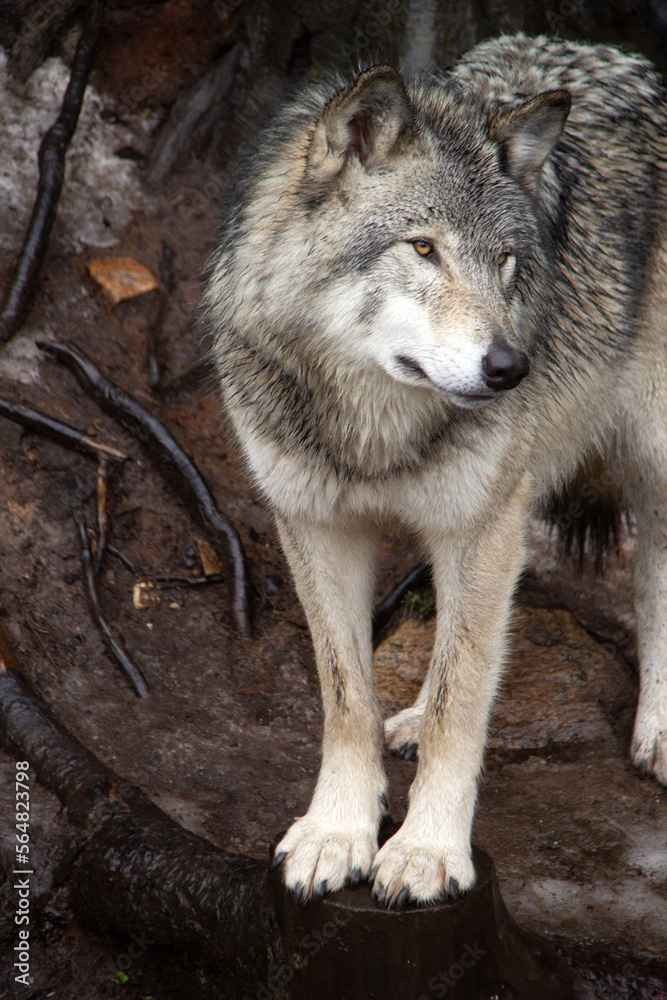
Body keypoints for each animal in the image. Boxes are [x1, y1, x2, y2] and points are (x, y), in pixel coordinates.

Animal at [204, 34, 667, 906]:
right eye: (423, 248)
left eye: (509, 262)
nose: (511, 368)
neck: (372, 430)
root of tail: (621, 55)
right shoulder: (316, 525)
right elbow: (349, 696)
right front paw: (337, 831)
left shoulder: (483, 525)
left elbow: (464, 706)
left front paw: (424, 851)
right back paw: (412, 718)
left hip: (646, 461)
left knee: (650, 584)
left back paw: (659, 730)